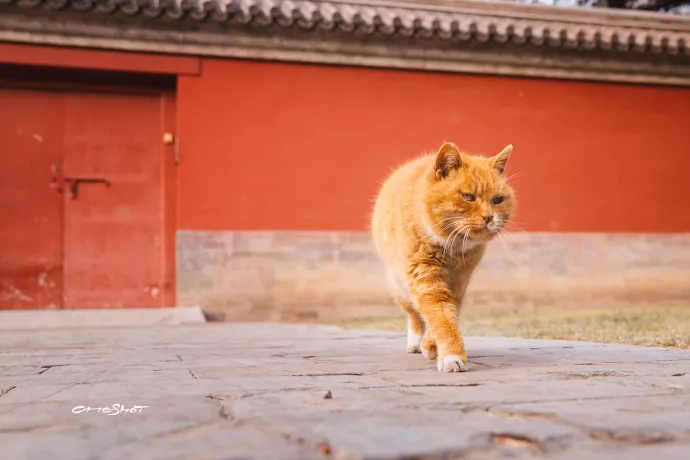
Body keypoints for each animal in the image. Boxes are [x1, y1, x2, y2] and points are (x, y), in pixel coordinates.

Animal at [370, 142, 510, 372]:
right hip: (399, 286)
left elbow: (449, 312)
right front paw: (452, 356)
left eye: (497, 200)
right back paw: (414, 342)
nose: (490, 217)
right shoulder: (423, 276)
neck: (452, 247)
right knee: (413, 315)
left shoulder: (460, 280)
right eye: (468, 197)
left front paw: (432, 345)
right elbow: (440, 315)